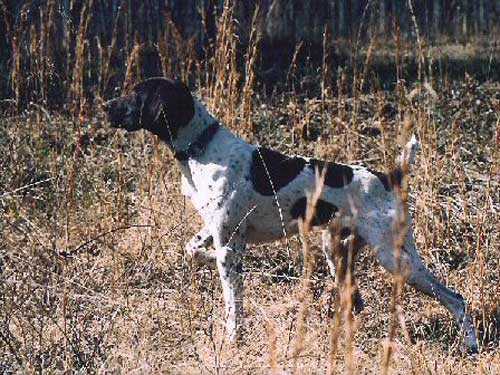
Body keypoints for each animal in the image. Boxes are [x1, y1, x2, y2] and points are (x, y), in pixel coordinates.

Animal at [103, 78, 478, 354]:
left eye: (135, 93)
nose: (104, 106)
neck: (202, 147)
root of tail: (390, 177)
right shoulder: (216, 231)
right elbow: (193, 250)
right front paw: (210, 261)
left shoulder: (228, 241)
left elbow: (233, 303)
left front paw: (233, 340)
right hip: (336, 251)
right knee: (355, 299)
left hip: (396, 258)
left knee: (457, 299)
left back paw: (470, 345)